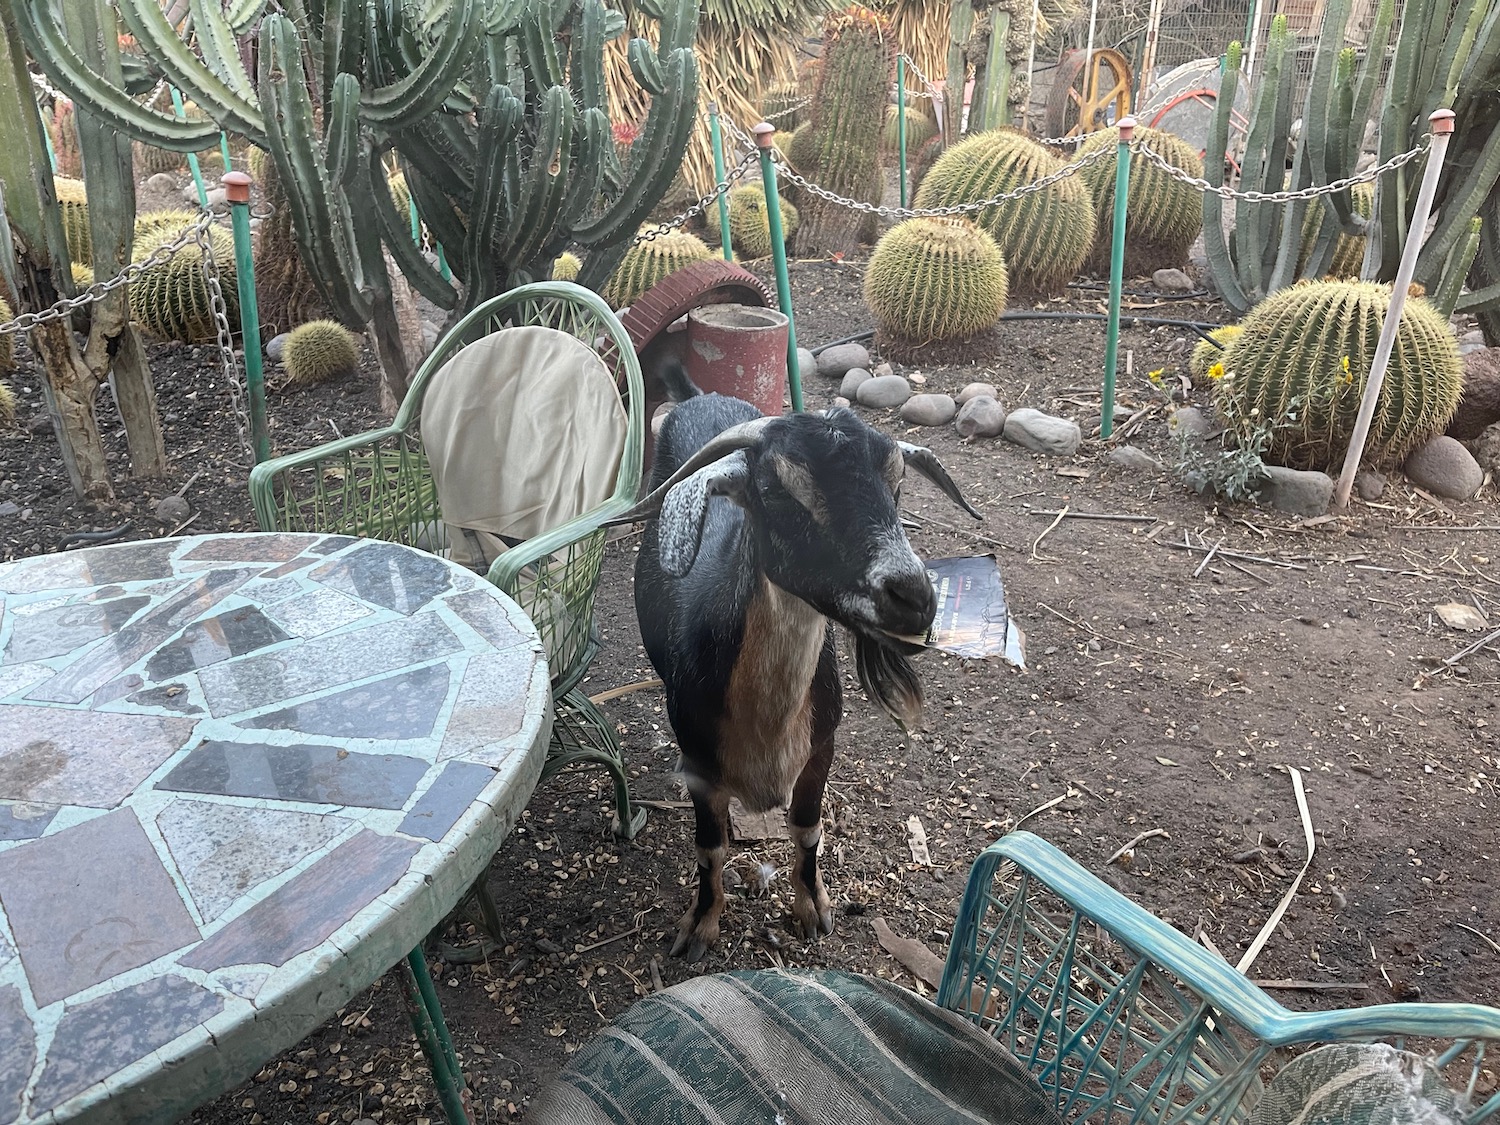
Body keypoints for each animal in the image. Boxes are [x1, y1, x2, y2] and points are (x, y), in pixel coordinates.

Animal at [612, 370, 978, 960]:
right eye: (776, 492)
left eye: (897, 483)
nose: (915, 598)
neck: (769, 721)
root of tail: (699, 395)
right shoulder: (701, 765)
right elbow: (710, 847)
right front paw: (700, 925)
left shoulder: (821, 749)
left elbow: (807, 831)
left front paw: (814, 909)